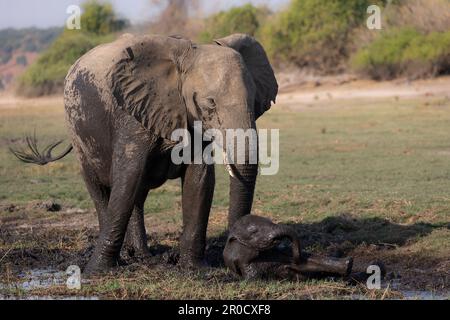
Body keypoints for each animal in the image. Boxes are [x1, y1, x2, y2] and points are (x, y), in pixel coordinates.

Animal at [10, 33, 278, 272]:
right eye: (210, 104)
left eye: (254, 100)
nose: (237, 257)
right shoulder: (133, 116)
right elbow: (127, 176)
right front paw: (95, 272)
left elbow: (199, 180)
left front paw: (195, 270)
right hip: (77, 133)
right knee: (101, 188)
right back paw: (123, 256)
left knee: (136, 195)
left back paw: (142, 256)